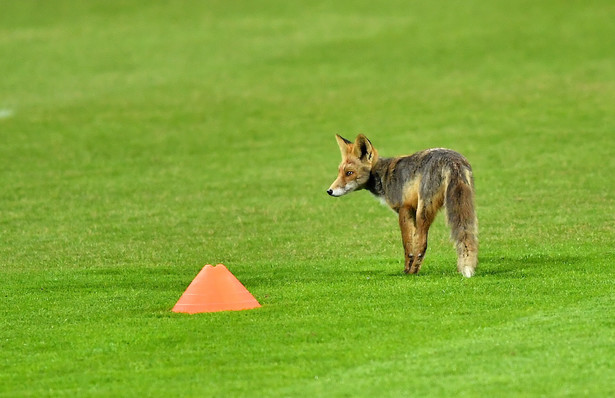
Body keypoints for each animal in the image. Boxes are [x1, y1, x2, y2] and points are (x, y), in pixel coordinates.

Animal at [324, 134, 478, 276]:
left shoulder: (405, 209)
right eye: (340, 172)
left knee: (423, 244)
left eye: (349, 173)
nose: (329, 191)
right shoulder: (412, 210)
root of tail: (453, 160)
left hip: (423, 212)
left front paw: (406, 270)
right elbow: (412, 243)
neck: (384, 175)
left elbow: (408, 246)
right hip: (466, 206)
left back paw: (413, 272)